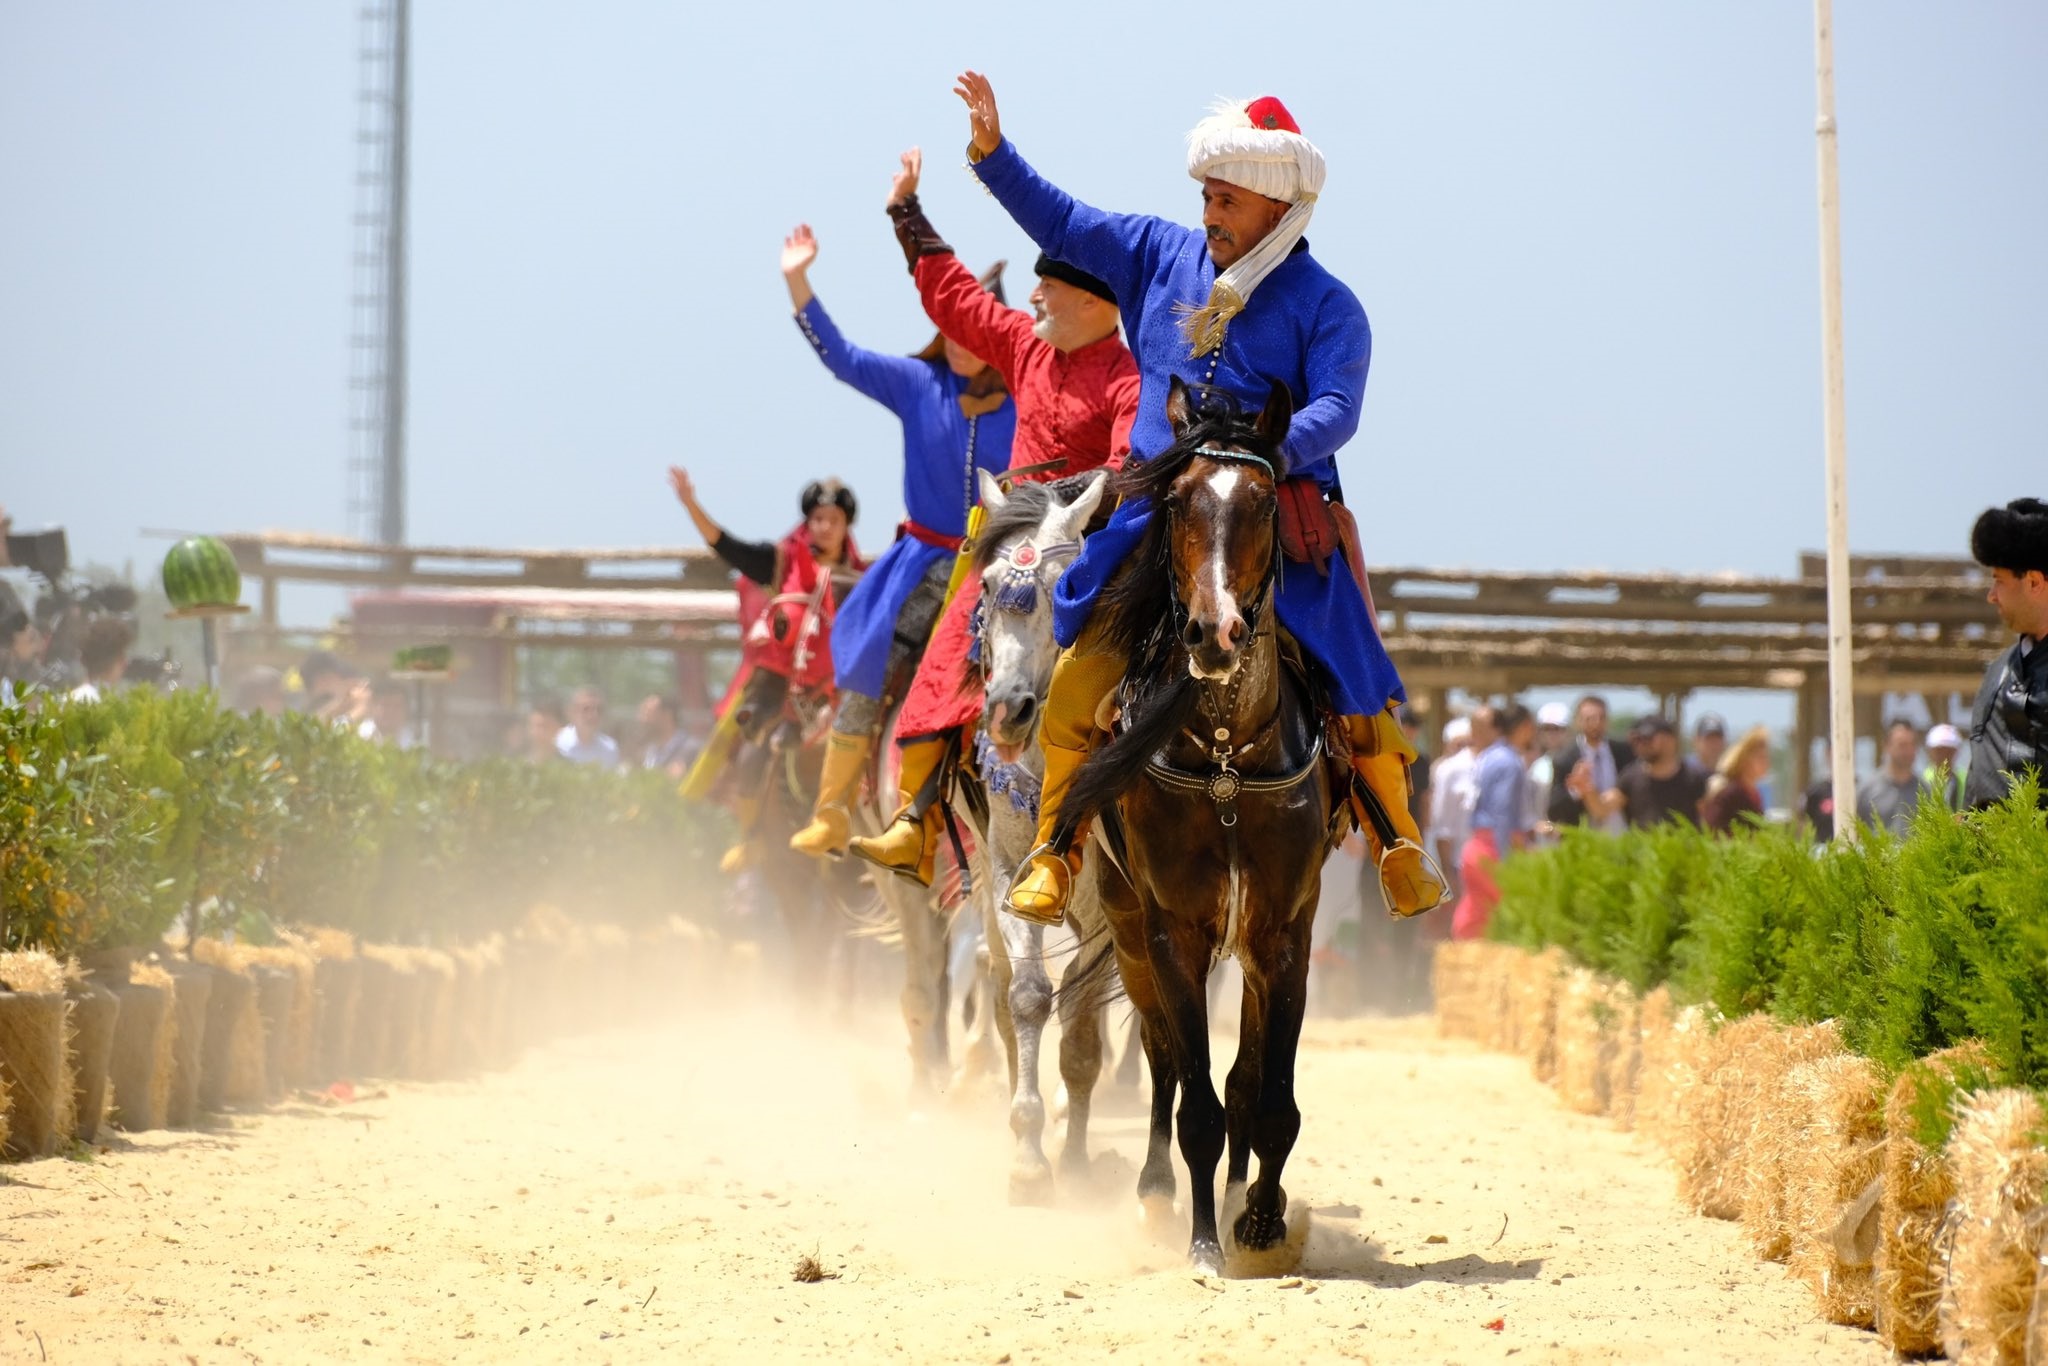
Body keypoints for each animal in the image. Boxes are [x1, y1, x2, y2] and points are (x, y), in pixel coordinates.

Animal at [1056, 374, 1343, 1269]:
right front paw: (1206, 1243)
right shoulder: (1172, 930)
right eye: (1178, 502)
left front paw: (1262, 1223)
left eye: (1263, 501)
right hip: (1125, 923)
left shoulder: (1283, 931)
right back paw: (1158, 1193)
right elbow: (1197, 1102)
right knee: (1160, 1061)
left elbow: (1267, 1095)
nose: (1214, 633)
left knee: (1239, 1078)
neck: (1226, 761)